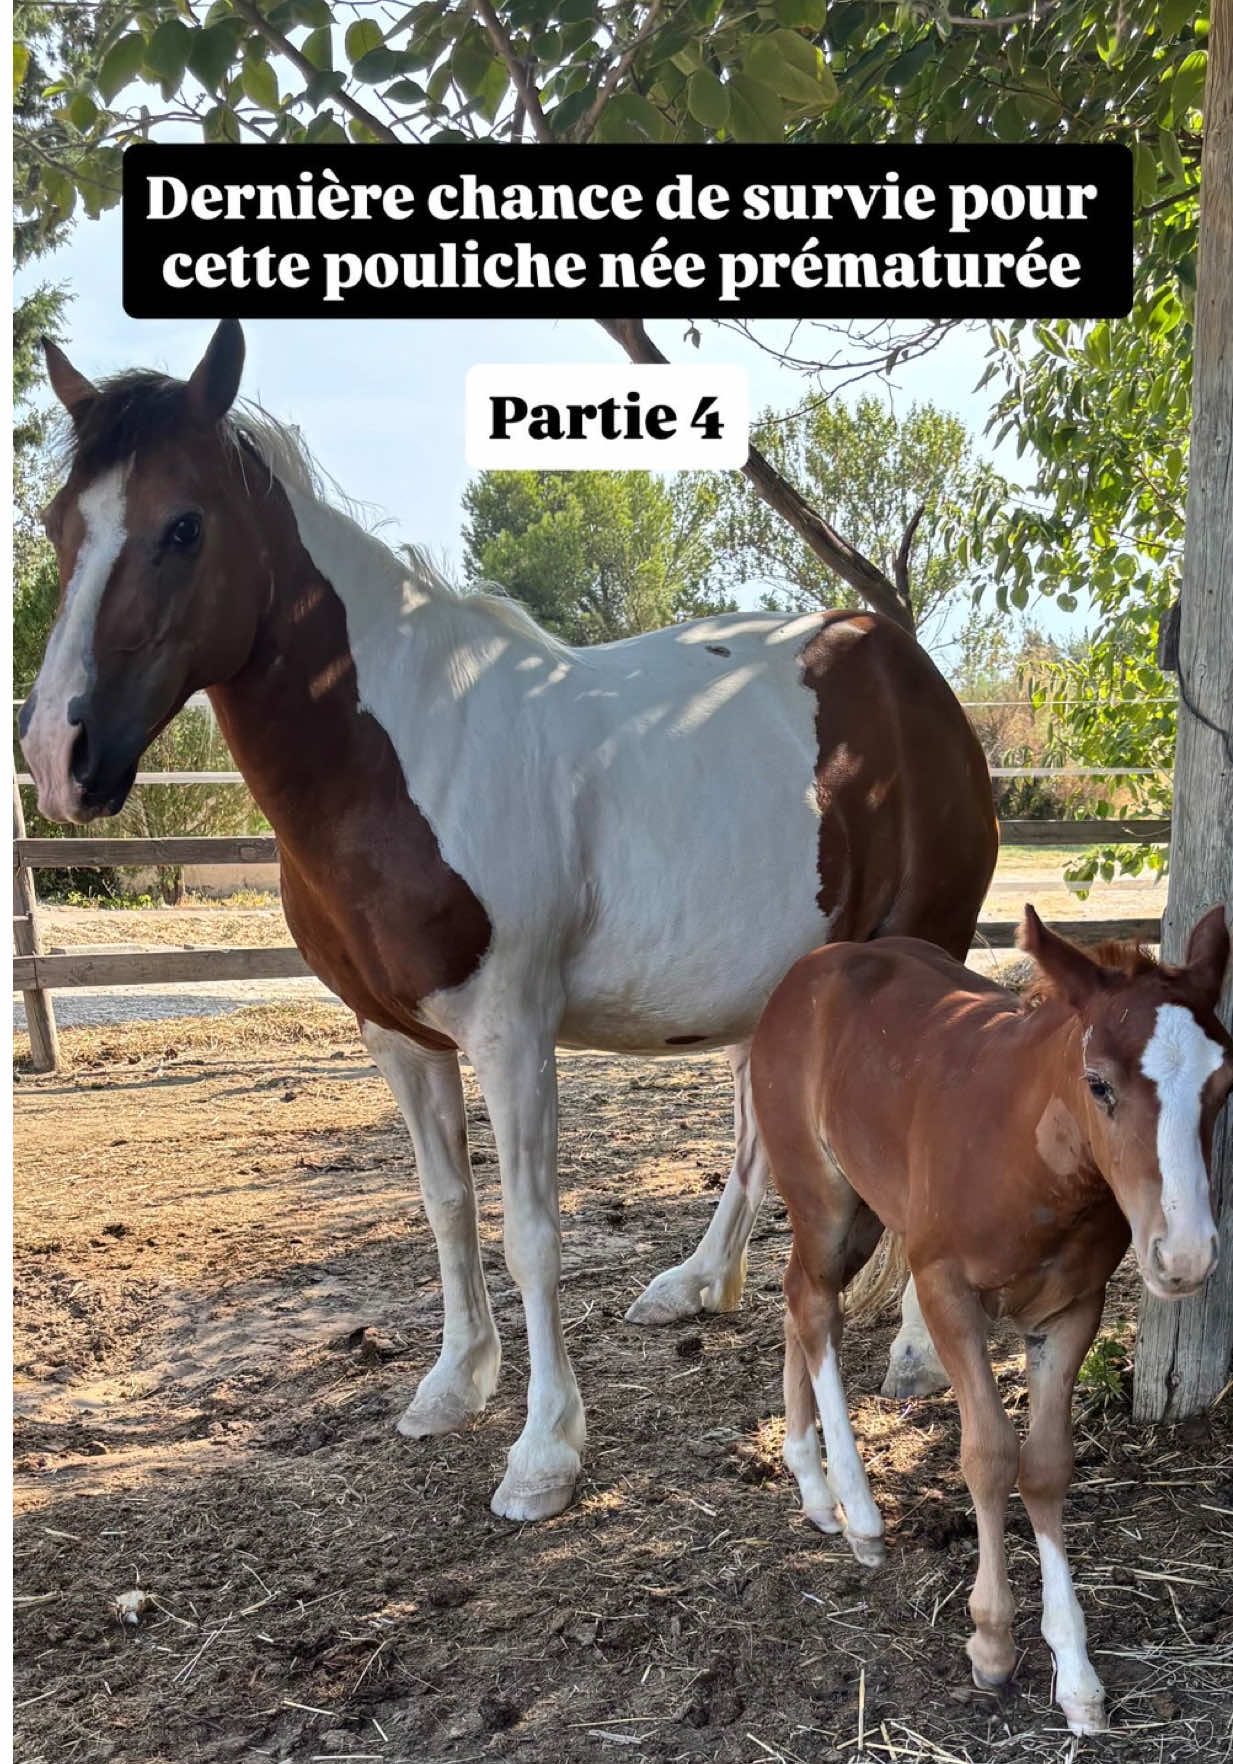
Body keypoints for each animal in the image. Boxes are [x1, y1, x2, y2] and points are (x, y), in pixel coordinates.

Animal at [20, 319, 997, 1522]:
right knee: (755, 1138)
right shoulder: (396, 1034)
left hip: (922, 950)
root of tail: (904, 666)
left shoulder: (512, 1031)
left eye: (182, 526)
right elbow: (445, 1206)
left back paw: (910, 1355)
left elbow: (532, 1232)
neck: (405, 750)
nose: (57, 758)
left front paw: (544, 1452)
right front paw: (453, 1384)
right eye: (59, 523)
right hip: (789, 979)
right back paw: (696, 1284)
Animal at [749, 905, 1233, 1735]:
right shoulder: (944, 1290)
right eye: (1098, 1084)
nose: (1185, 1254)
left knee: (798, 1300)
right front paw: (991, 1642)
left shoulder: (1072, 1310)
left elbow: (1043, 1465)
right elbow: (987, 1455)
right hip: (820, 1191)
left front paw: (1075, 1675)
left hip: (862, 1209)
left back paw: (813, 1488)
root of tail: (812, 966)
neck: (1029, 1164)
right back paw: (859, 1514)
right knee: (812, 1306)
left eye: (1225, 1082)